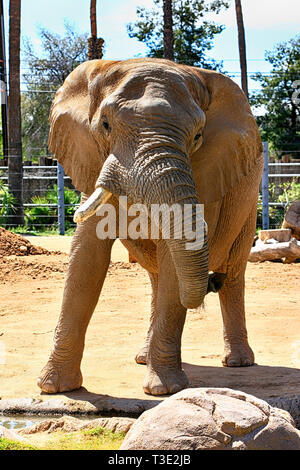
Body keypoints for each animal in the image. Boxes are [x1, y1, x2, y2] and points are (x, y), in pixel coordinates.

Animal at [37, 57, 262, 396]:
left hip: (249, 194)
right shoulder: (91, 160)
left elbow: (175, 259)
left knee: (233, 273)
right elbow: (86, 256)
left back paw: (238, 362)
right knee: (157, 277)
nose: (209, 282)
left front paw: (164, 391)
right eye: (105, 125)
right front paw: (54, 388)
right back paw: (143, 358)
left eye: (198, 137)